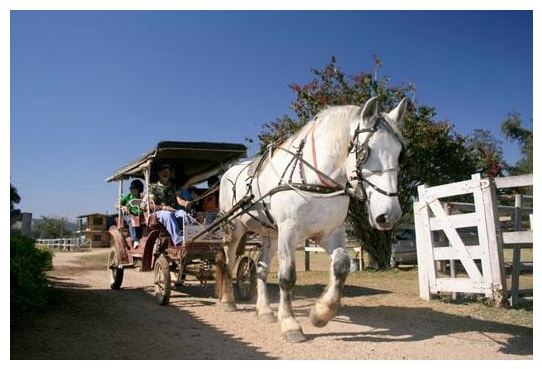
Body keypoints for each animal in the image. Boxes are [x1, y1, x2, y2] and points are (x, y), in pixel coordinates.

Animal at [217, 97, 408, 342]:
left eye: (400, 154)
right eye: (364, 152)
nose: (390, 215)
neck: (315, 180)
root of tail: (228, 172)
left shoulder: (331, 233)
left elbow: (341, 266)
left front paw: (320, 313)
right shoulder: (290, 231)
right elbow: (287, 277)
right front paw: (290, 324)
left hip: (271, 236)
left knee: (260, 269)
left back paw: (265, 310)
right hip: (233, 228)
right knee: (228, 263)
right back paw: (228, 301)